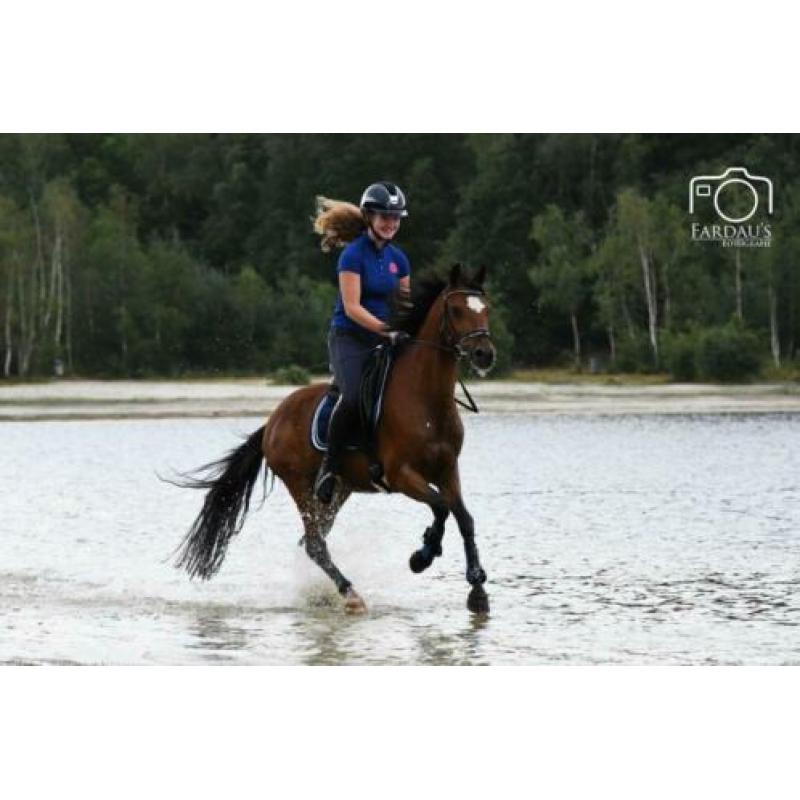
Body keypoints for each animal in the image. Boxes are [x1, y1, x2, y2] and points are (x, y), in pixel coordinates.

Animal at [173, 262, 497, 614]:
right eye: (455, 310)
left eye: (486, 308)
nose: (484, 354)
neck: (426, 400)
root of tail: (273, 420)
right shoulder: (401, 475)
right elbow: (441, 507)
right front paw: (421, 557)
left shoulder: (447, 469)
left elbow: (464, 517)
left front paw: (477, 588)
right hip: (300, 484)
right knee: (315, 543)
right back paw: (350, 592)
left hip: (338, 491)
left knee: (311, 541)